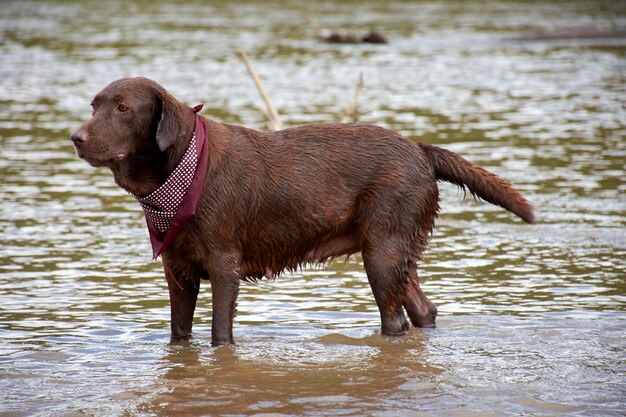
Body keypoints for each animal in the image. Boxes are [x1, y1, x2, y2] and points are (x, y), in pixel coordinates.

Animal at [72, 77, 532, 344]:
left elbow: (220, 334)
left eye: (123, 107)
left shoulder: (224, 266)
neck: (182, 167)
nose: (75, 137)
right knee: (423, 309)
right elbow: (179, 334)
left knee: (396, 320)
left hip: (382, 252)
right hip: (398, 251)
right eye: (93, 105)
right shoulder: (178, 271)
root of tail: (419, 149)